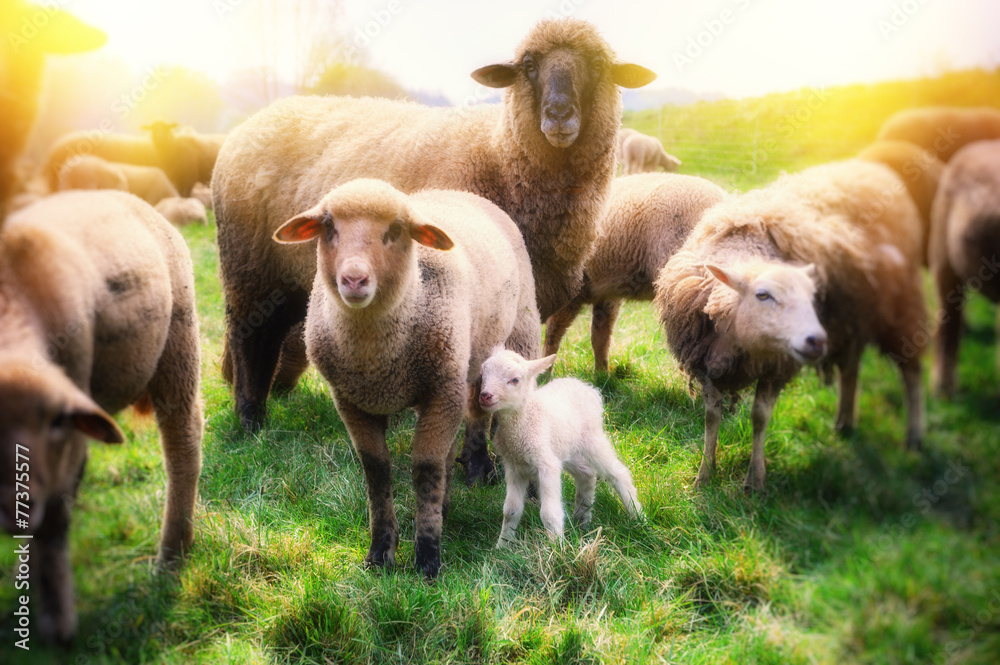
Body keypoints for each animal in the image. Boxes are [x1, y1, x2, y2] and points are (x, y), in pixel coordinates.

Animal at [0, 189, 203, 642]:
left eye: (55, 421)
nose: (12, 507)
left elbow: (53, 522)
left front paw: (57, 622)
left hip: (178, 343)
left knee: (183, 446)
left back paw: (171, 556)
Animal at [213, 17, 656, 485]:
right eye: (529, 65)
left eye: (598, 65)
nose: (558, 114)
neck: (501, 155)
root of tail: (254, 121)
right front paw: (475, 465)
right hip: (249, 268)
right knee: (249, 337)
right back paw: (250, 421)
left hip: (290, 278)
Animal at [271, 179, 540, 578]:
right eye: (329, 227)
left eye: (396, 229)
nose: (354, 279)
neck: (376, 356)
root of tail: (458, 191)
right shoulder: (352, 401)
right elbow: (377, 471)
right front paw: (381, 551)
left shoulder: (442, 391)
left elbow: (425, 468)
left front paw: (427, 557)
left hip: (516, 332)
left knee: (485, 413)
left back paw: (486, 473)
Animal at [478, 348, 641, 545]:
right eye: (483, 374)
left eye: (515, 380)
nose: (485, 395)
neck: (525, 420)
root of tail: (588, 387)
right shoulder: (514, 466)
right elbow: (510, 510)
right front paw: (503, 545)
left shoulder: (547, 465)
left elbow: (549, 513)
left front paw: (556, 546)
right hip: (565, 448)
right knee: (587, 472)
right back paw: (582, 520)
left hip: (592, 438)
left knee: (618, 473)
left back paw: (638, 516)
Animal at [655, 159, 926, 490]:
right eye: (763, 295)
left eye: (813, 297)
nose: (817, 340)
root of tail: (872, 167)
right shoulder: (707, 362)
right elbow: (711, 418)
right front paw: (705, 475)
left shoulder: (776, 365)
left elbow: (759, 417)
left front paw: (755, 480)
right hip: (852, 318)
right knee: (851, 368)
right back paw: (844, 423)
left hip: (898, 304)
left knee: (911, 370)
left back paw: (914, 436)